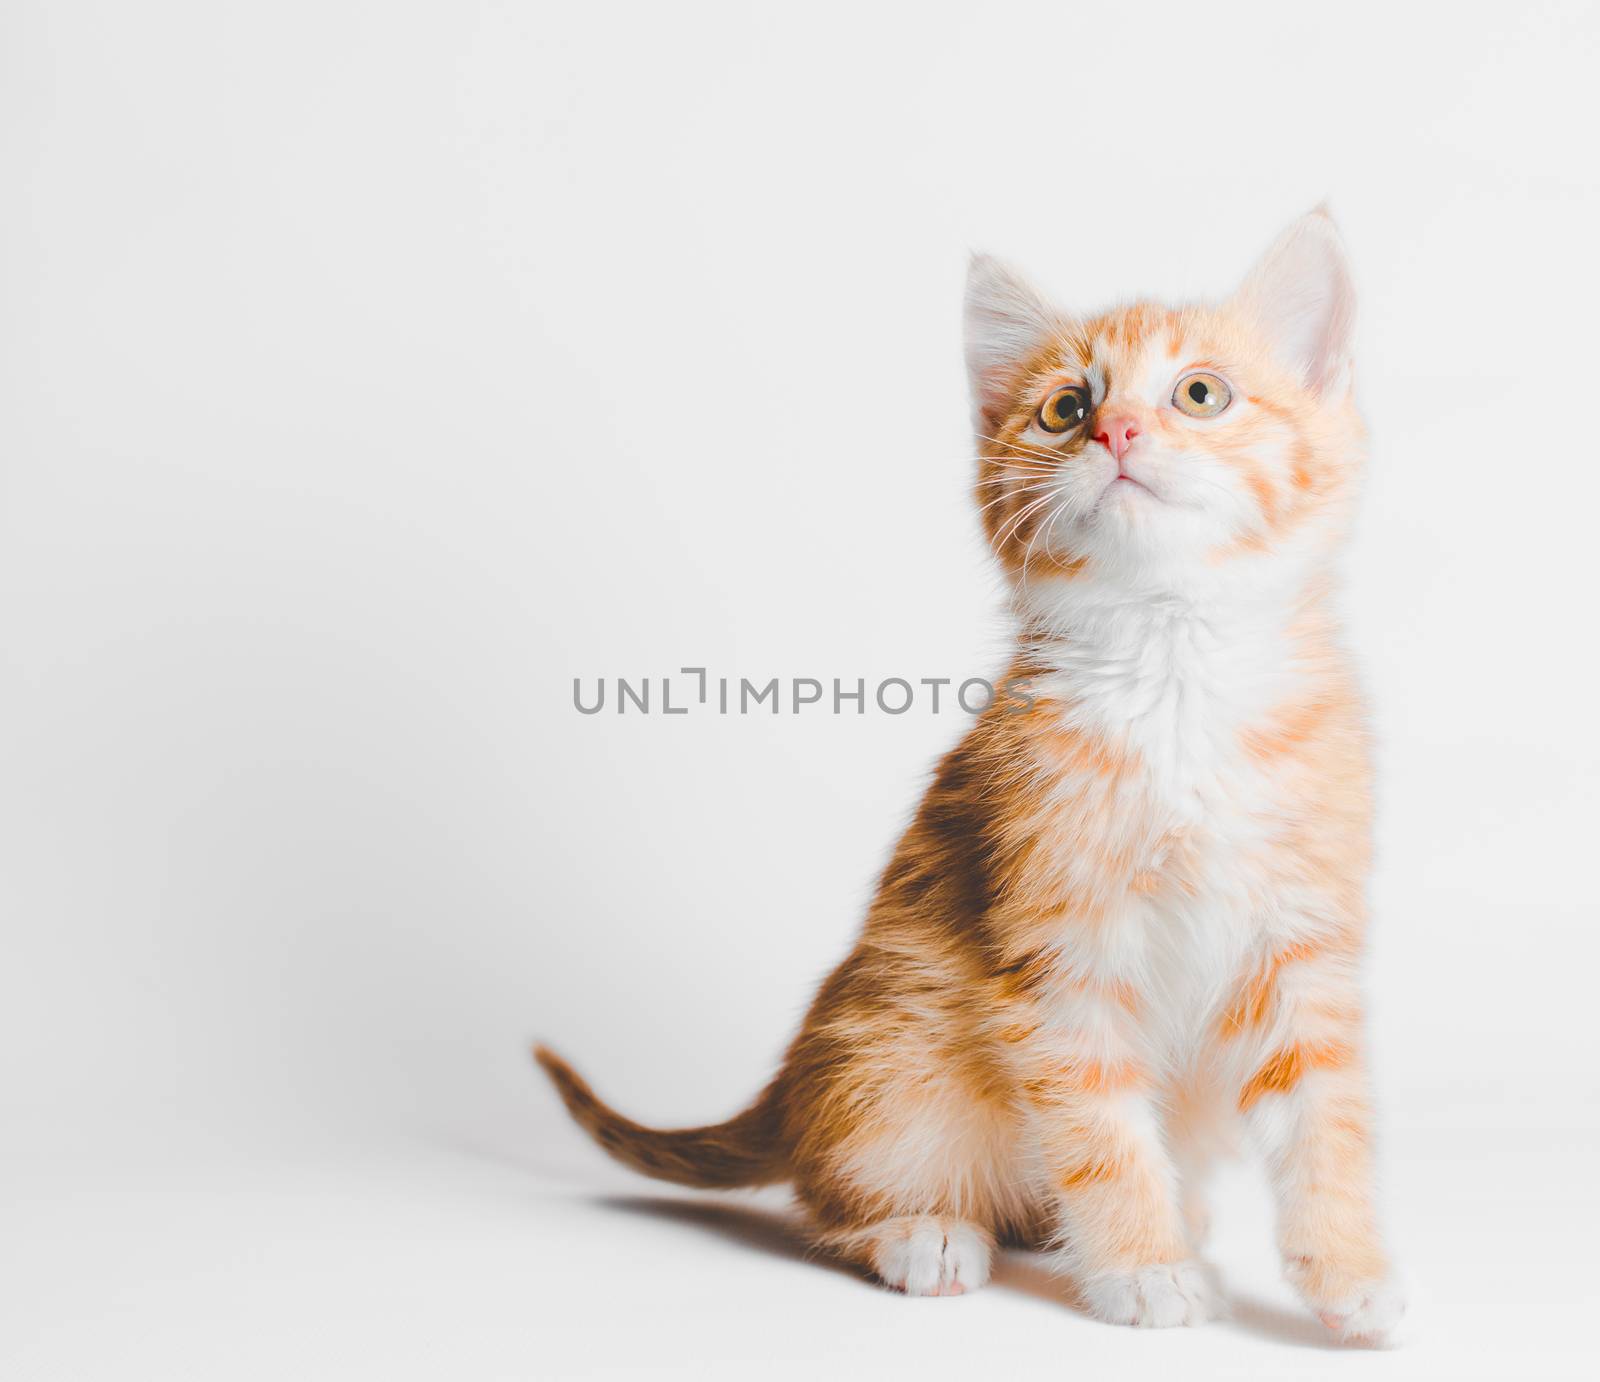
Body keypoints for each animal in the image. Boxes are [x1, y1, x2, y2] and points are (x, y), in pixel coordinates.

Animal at [534, 211, 1401, 1343]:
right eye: (1065, 407)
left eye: (1200, 393)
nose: (1117, 434)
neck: (1174, 671)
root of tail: (792, 1089)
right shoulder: (1055, 945)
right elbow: (1098, 1127)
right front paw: (1142, 1266)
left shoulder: (1301, 937)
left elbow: (1325, 1117)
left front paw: (1347, 1275)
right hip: (894, 1047)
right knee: (829, 1192)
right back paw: (923, 1233)